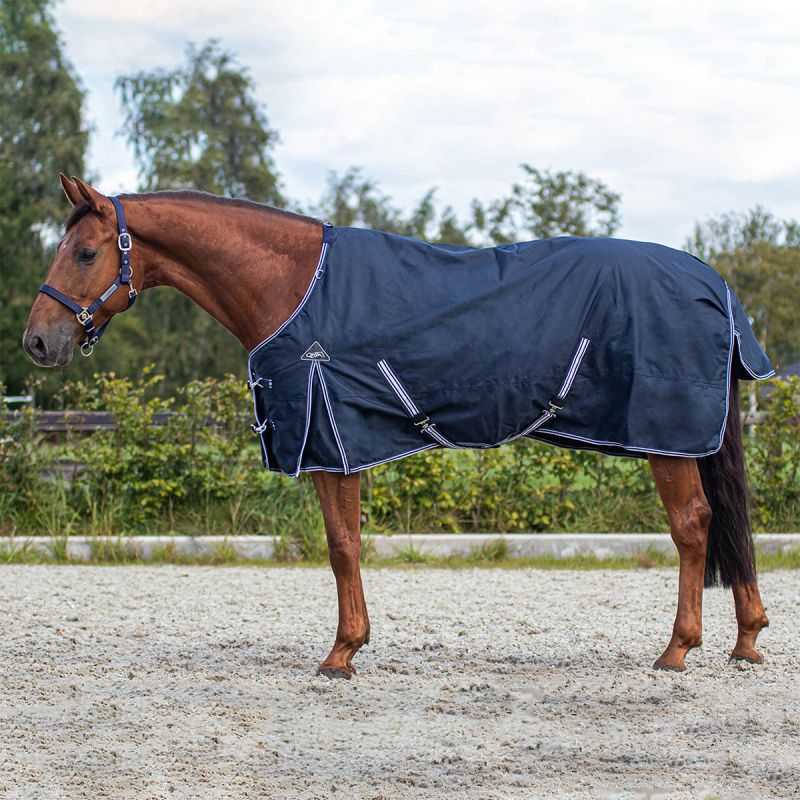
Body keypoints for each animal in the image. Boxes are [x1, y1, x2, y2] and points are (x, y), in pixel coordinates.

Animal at [23, 174, 771, 678]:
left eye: (85, 253)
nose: (37, 342)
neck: (291, 284)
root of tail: (715, 284)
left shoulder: (330, 439)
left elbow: (341, 546)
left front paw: (341, 653)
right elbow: (345, 544)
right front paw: (350, 644)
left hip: (667, 437)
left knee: (694, 526)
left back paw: (678, 649)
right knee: (728, 524)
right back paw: (746, 640)